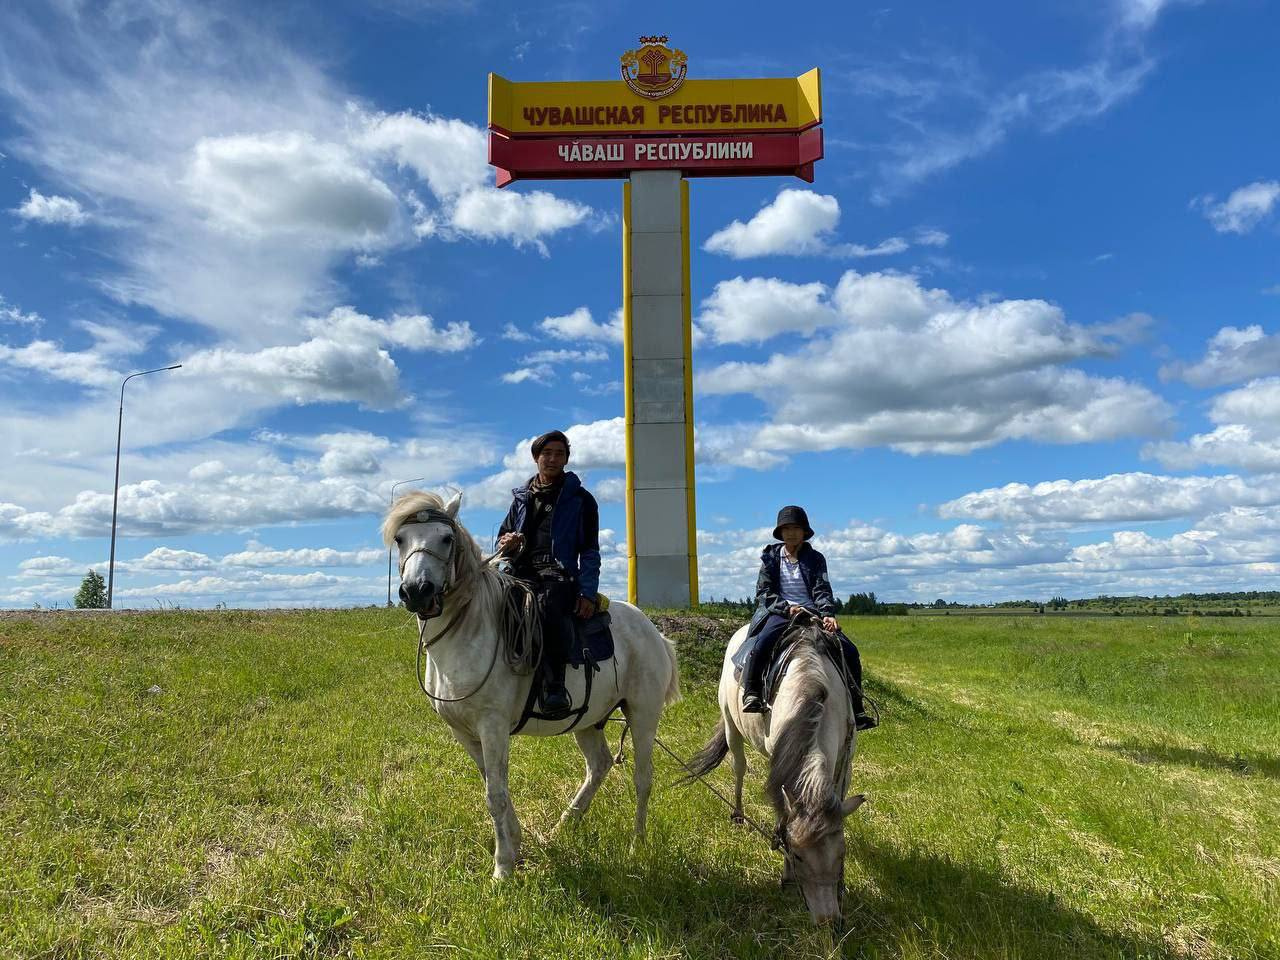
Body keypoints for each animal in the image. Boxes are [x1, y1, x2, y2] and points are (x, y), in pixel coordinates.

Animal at [381, 496, 680, 880]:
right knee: (598, 765)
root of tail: (654, 632)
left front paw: (502, 868)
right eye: (400, 538)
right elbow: (496, 787)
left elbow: (495, 795)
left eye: (446, 538)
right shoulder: (464, 732)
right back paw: (564, 825)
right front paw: (517, 844)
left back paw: (636, 845)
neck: (467, 632)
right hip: (588, 721)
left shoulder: (492, 727)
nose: (417, 591)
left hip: (643, 715)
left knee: (643, 779)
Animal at [686, 616, 865, 931]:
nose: (828, 921)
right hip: (732, 726)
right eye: (797, 855)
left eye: (842, 852)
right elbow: (783, 811)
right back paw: (738, 814)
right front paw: (786, 876)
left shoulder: (846, 761)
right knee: (739, 767)